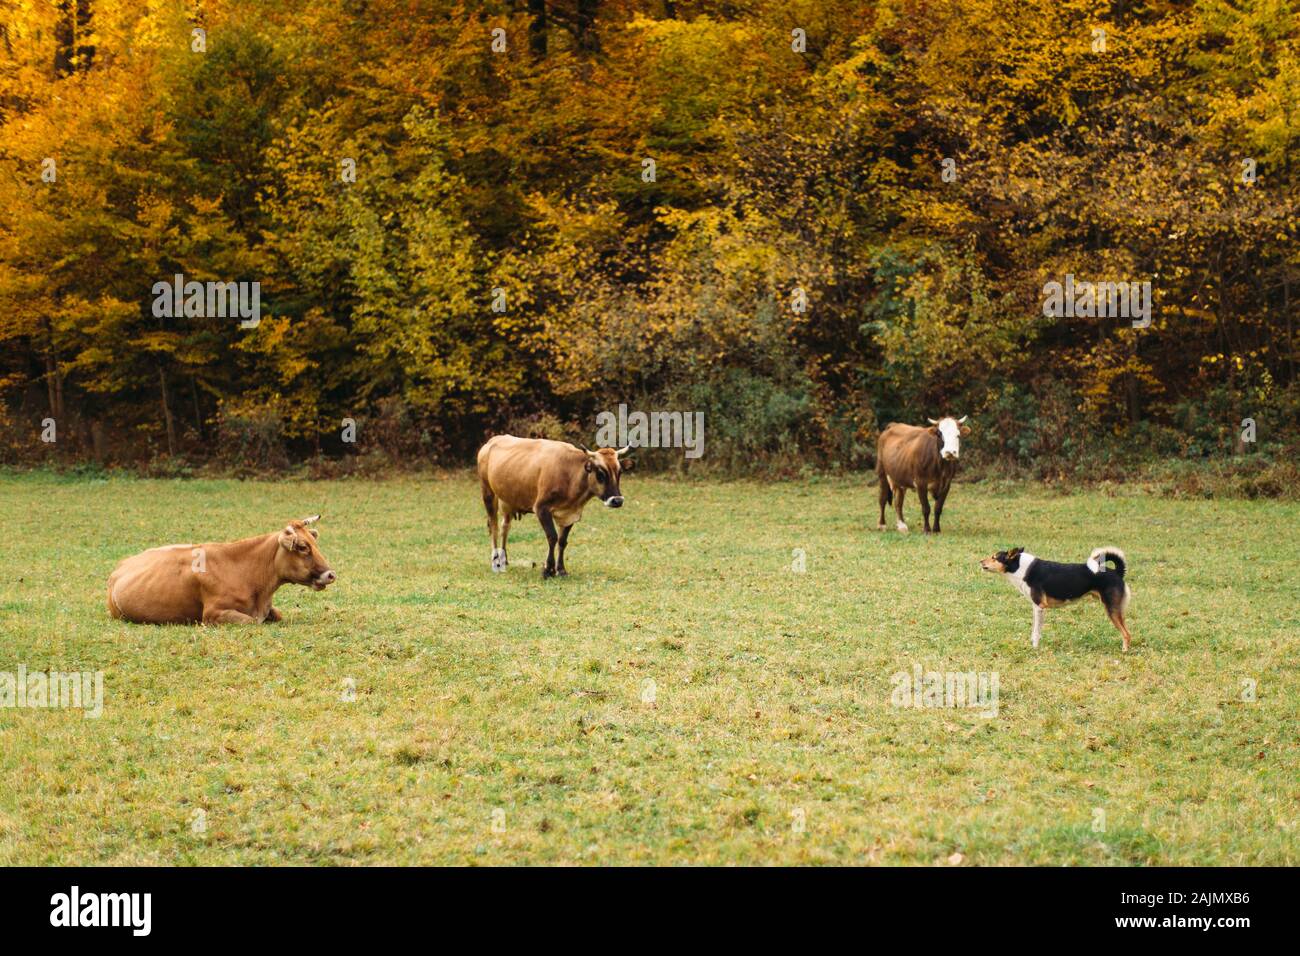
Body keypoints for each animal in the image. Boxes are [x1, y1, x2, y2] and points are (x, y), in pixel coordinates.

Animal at [480, 437, 637, 580]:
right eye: (600, 473)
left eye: (619, 472)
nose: (617, 500)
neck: (570, 475)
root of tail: (491, 441)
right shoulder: (541, 508)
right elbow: (552, 537)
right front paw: (548, 570)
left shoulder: (570, 513)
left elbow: (562, 541)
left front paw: (561, 569)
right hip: (488, 493)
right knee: (494, 525)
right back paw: (496, 559)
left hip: (508, 499)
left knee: (505, 527)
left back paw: (504, 559)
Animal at [977, 548, 1133, 655]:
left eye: (994, 557)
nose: (980, 561)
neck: (1021, 568)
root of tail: (1117, 572)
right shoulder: (1036, 608)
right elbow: (1035, 630)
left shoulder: (1039, 607)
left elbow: (1036, 632)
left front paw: (1034, 648)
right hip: (1117, 611)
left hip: (1112, 610)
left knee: (1126, 634)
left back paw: (1124, 651)